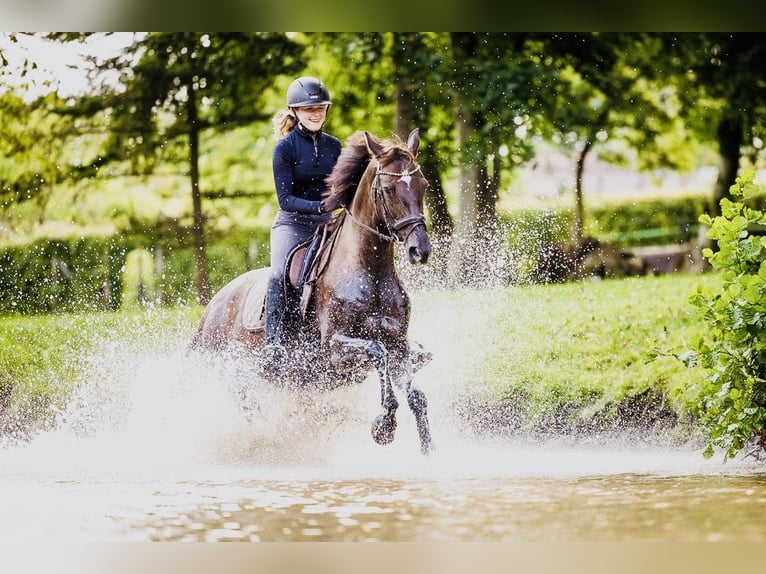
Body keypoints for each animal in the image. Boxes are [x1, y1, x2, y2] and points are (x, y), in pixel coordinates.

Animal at [190, 128, 436, 456]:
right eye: (387, 189)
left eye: (423, 185)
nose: (419, 250)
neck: (369, 274)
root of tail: (210, 310)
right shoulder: (334, 350)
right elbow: (376, 352)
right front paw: (384, 426)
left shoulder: (399, 346)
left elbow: (416, 396)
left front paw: (428, 450)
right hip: (233, 373)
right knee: (247, 408)